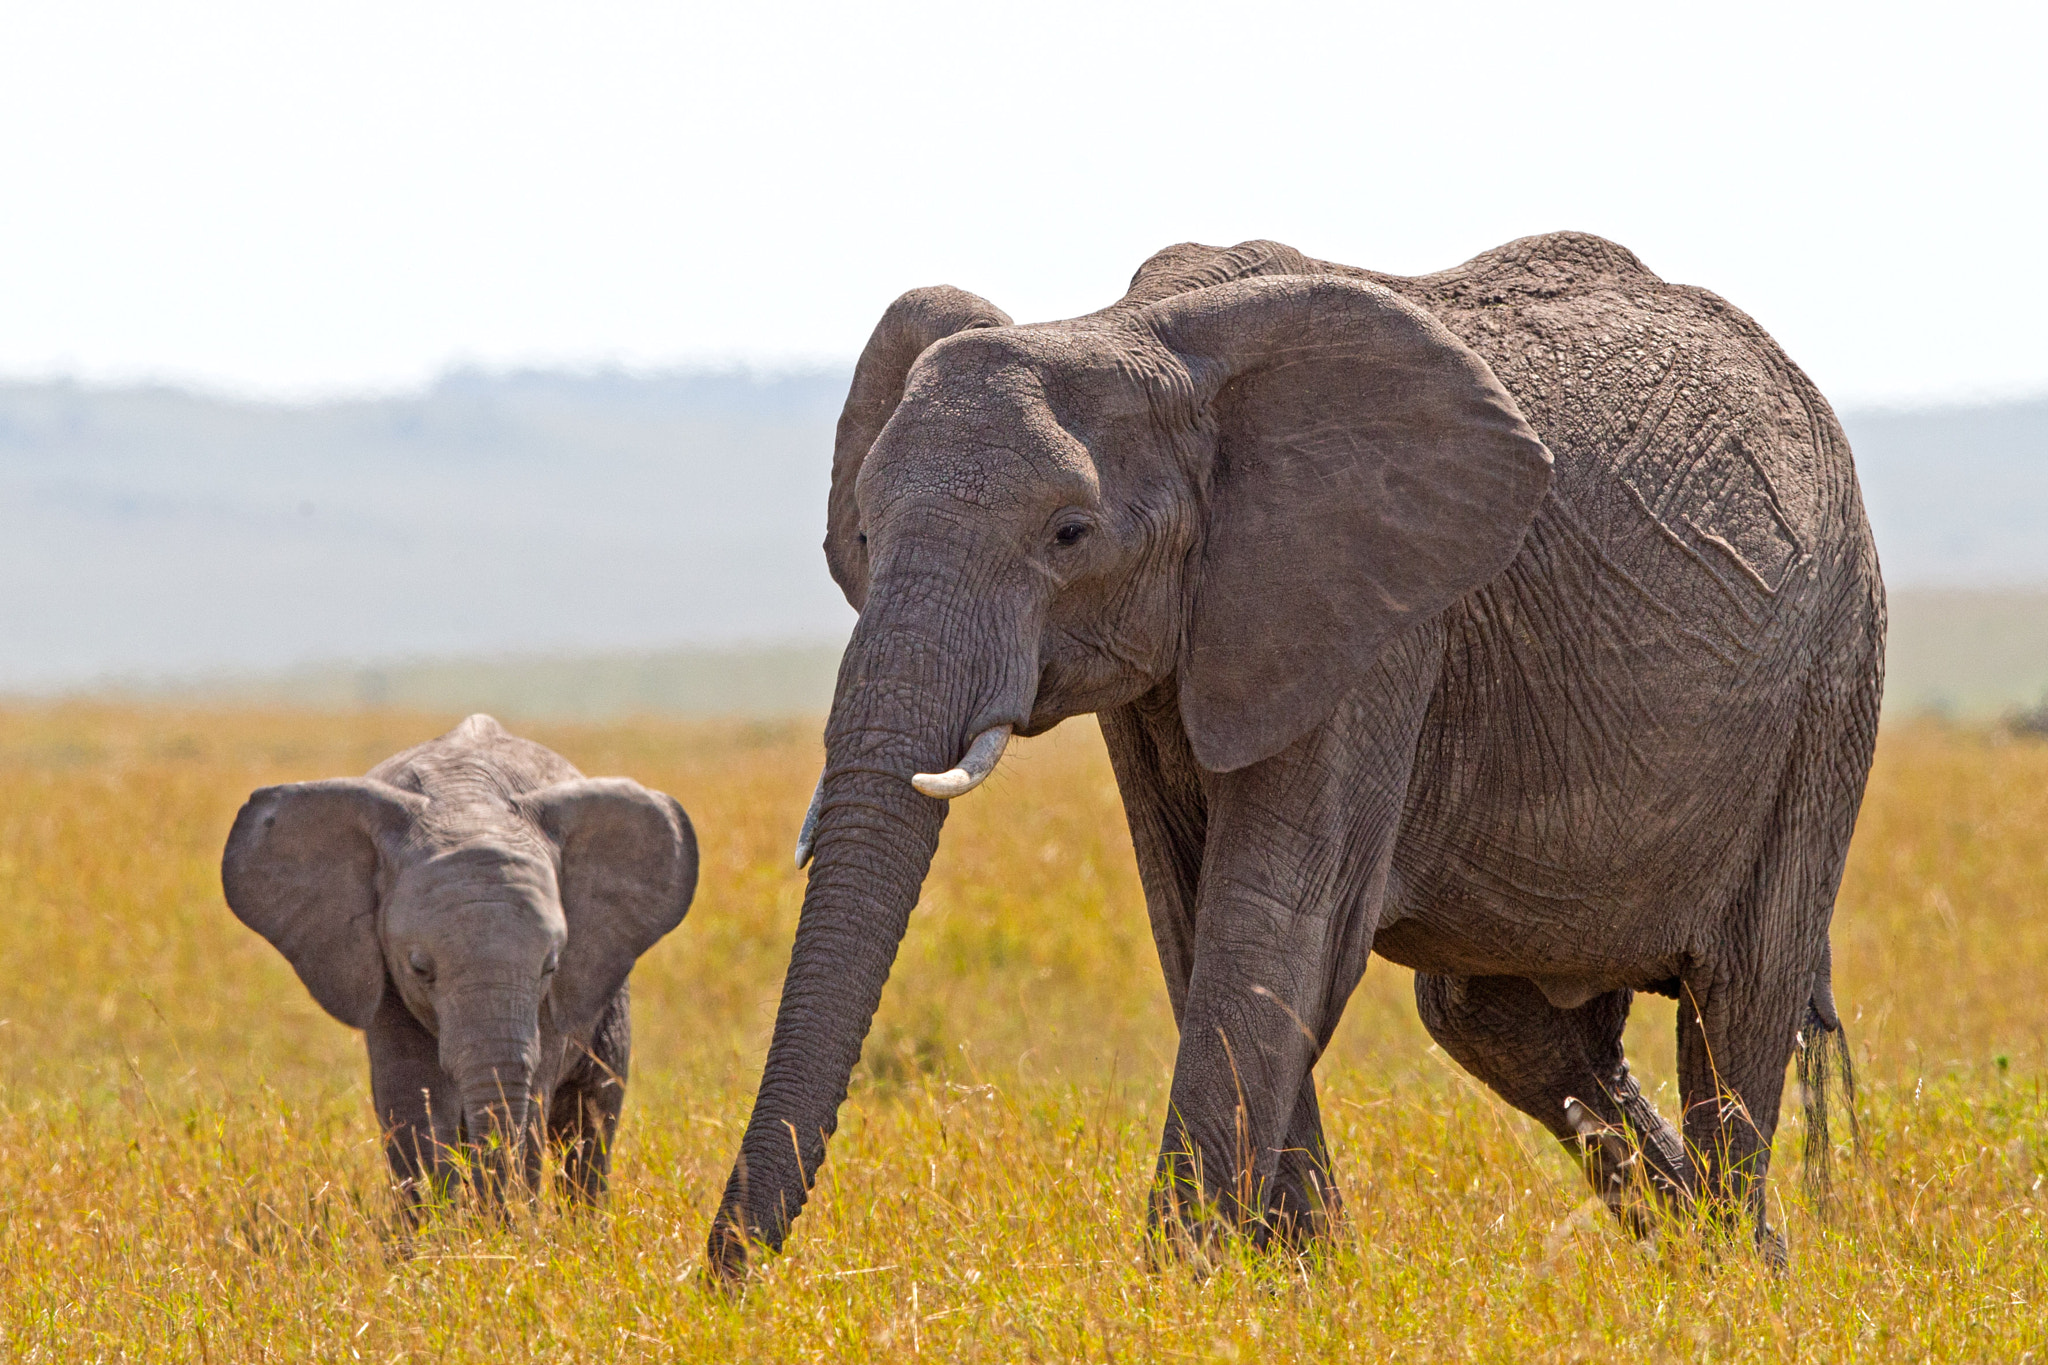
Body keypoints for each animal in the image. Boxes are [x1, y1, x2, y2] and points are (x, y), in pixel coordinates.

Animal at [227, 716, 696, 1203]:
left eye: (550, 966)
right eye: (419, 969)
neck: (468, 802)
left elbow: (535, 1096)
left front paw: (504, 1220)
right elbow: (414, 1101)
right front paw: (441, 1222)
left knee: (591, 1123)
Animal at [708, 235, 1884, 1285]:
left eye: (1069, 534)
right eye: (863, 535)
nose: (725, 1283)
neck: (1128, 328)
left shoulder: (1382, 617)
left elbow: (1277, 918)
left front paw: (1185, 1291)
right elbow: (1193, 920)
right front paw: (1299, 1285)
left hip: (1829, 676)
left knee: (1736, 1000)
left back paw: (1735, 1284)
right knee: (1498, 1023)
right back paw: (1746, 1264)